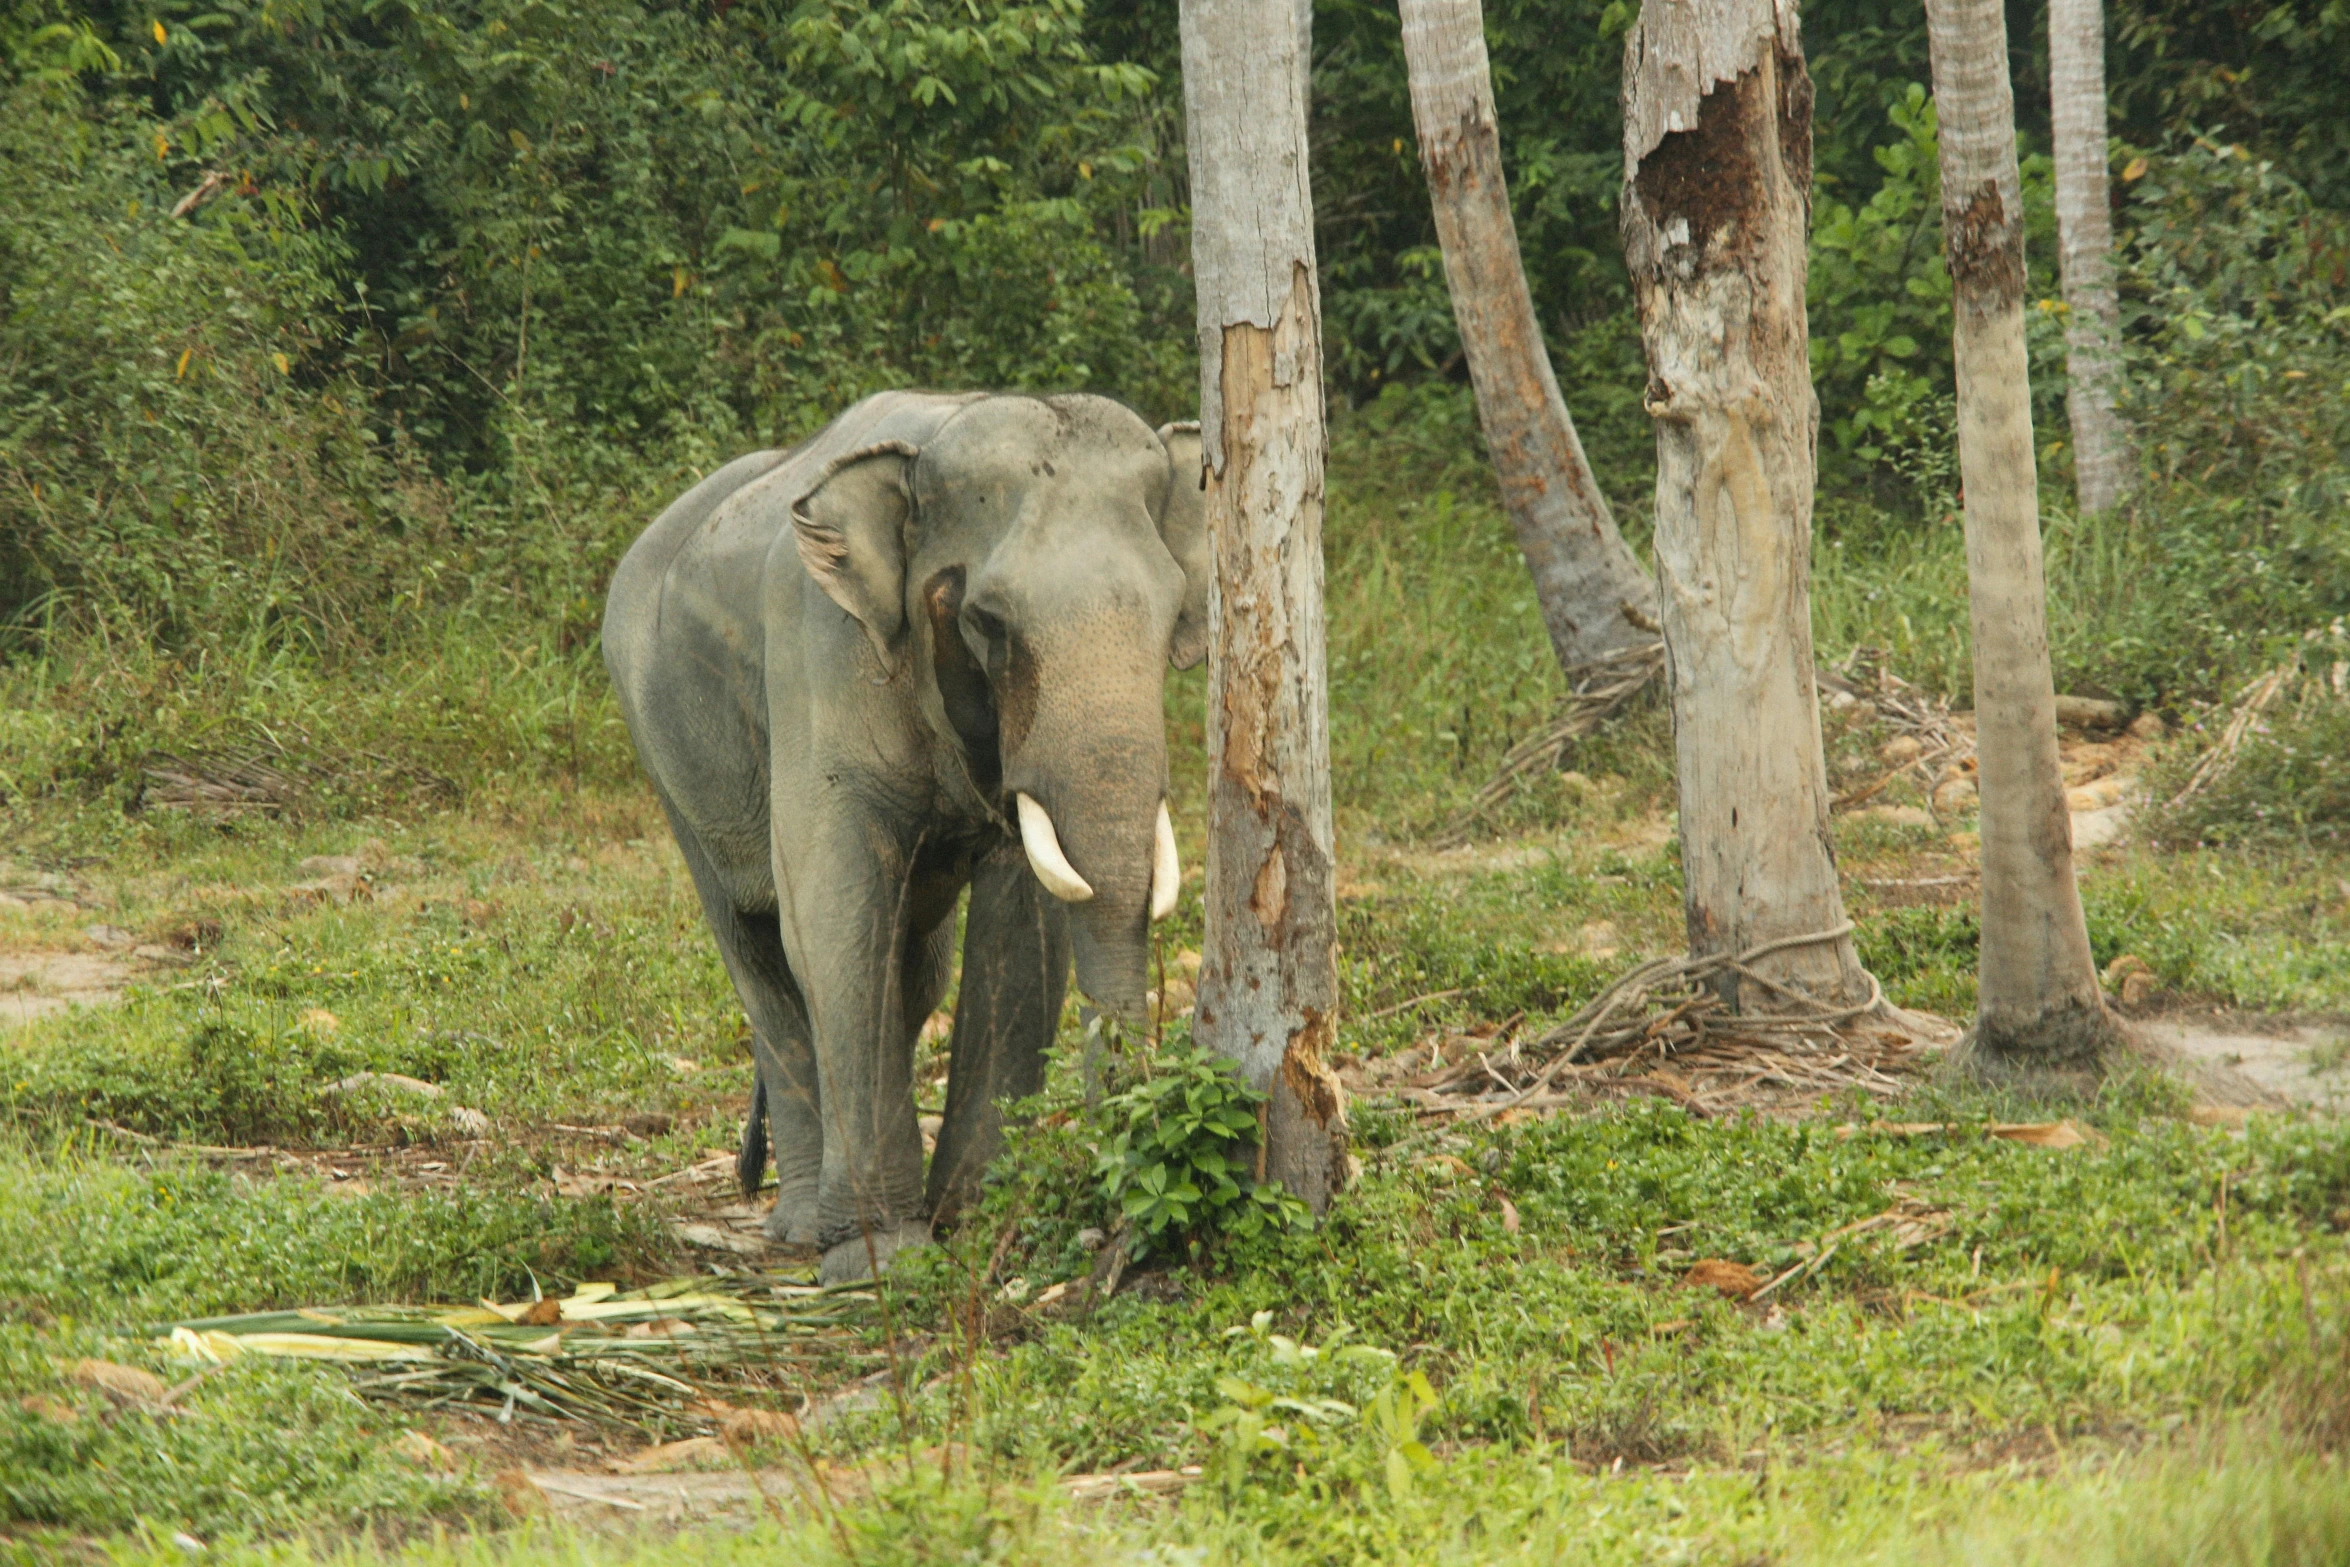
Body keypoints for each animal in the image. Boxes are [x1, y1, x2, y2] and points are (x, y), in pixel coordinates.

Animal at [601, 392, 1212, 1287]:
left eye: (1173, 613)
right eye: (988, 619)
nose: (1118, 1208)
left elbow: (1020, 924)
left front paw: (973, 1218)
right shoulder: (822, 651)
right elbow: (835, 919)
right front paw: (879, 1258)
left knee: (916, 970)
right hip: (664, 753)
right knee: (762, 963)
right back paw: (800, 1225)